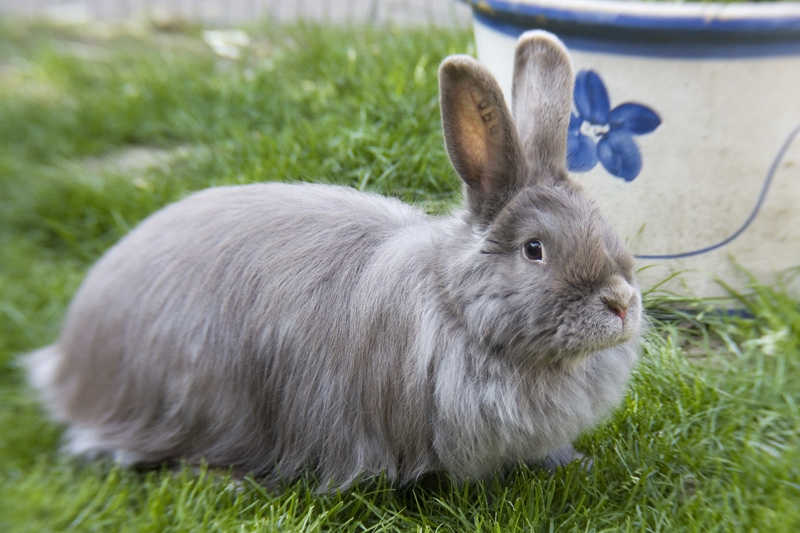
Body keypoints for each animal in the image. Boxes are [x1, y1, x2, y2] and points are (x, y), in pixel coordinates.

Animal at [25, 30, 642, 490]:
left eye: (605, 224)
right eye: (534, 249)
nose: (621, 305)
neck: (454, 306)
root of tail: (72, 356)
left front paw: (574, 462)